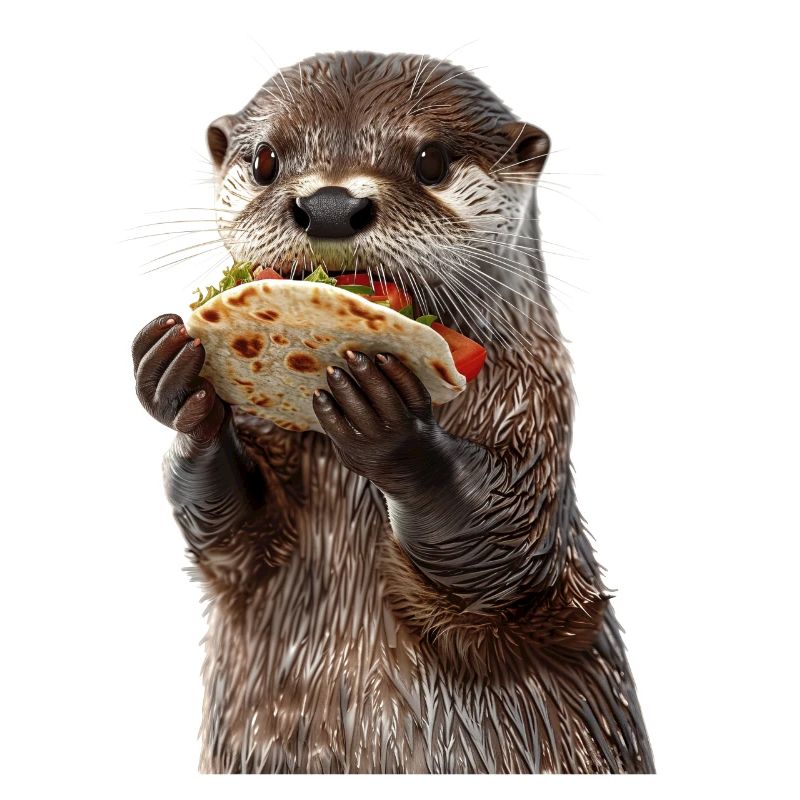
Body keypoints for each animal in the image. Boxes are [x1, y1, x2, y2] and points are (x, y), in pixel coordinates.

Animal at [132, 51, 654, 773]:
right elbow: (232, 536)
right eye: (266, 159)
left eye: (431, 160)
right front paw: (178, 381)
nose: (328, 204)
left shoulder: (537, 416)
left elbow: (508, 552)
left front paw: (390, 428)